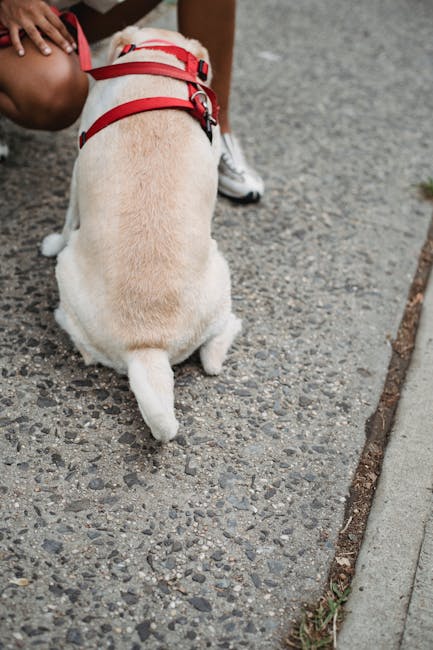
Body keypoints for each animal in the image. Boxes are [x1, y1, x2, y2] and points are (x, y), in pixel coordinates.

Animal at [41, 25, 240, 440]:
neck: (159, 61)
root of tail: (147, 346)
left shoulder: (78, 161)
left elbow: (67, 220)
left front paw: (50, 242)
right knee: (213, 355)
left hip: (68, 271)